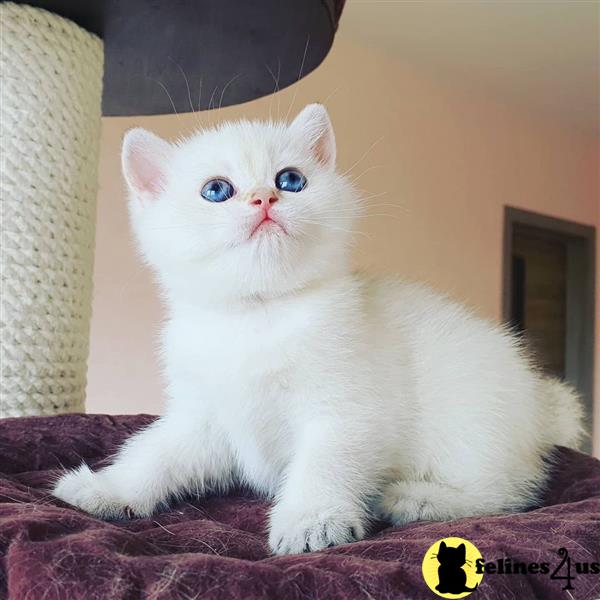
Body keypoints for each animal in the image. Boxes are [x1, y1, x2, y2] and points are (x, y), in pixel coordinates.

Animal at [55, 105, 580, 556]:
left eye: (291, 180)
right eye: (216, 190)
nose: (264, 198)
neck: (258, 318)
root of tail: (539, 406)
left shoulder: (348, 410)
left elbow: (325, 462)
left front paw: (313, 520)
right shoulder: (203, 414)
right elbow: (158, 452)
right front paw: (109, 488)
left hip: (471, 418)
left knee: (509, 490)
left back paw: (419, 499)